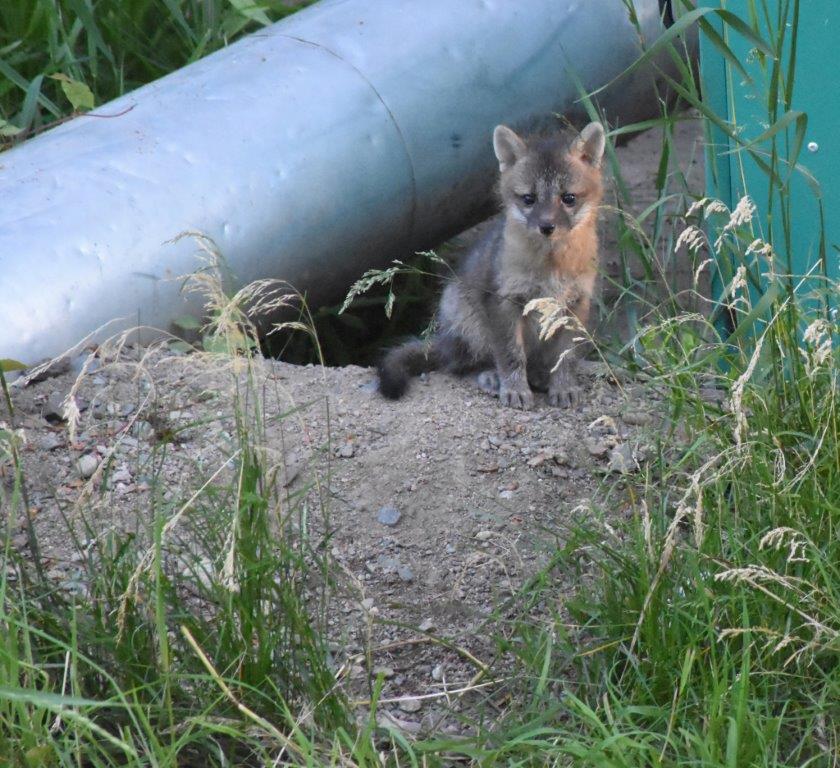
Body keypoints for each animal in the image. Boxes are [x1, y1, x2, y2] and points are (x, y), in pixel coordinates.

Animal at [378, 121, 606, 409]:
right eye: (529, 199)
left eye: (569, 198)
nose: (547, 227)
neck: (551, 267)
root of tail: (445, 340)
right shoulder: (503, 301)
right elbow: (511, 355)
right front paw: (515, 389)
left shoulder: (574, 303)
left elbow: (565, 356)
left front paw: (564, 387)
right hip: (473, 330)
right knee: (459, 365)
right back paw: (491, 377)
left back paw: (539, 376)